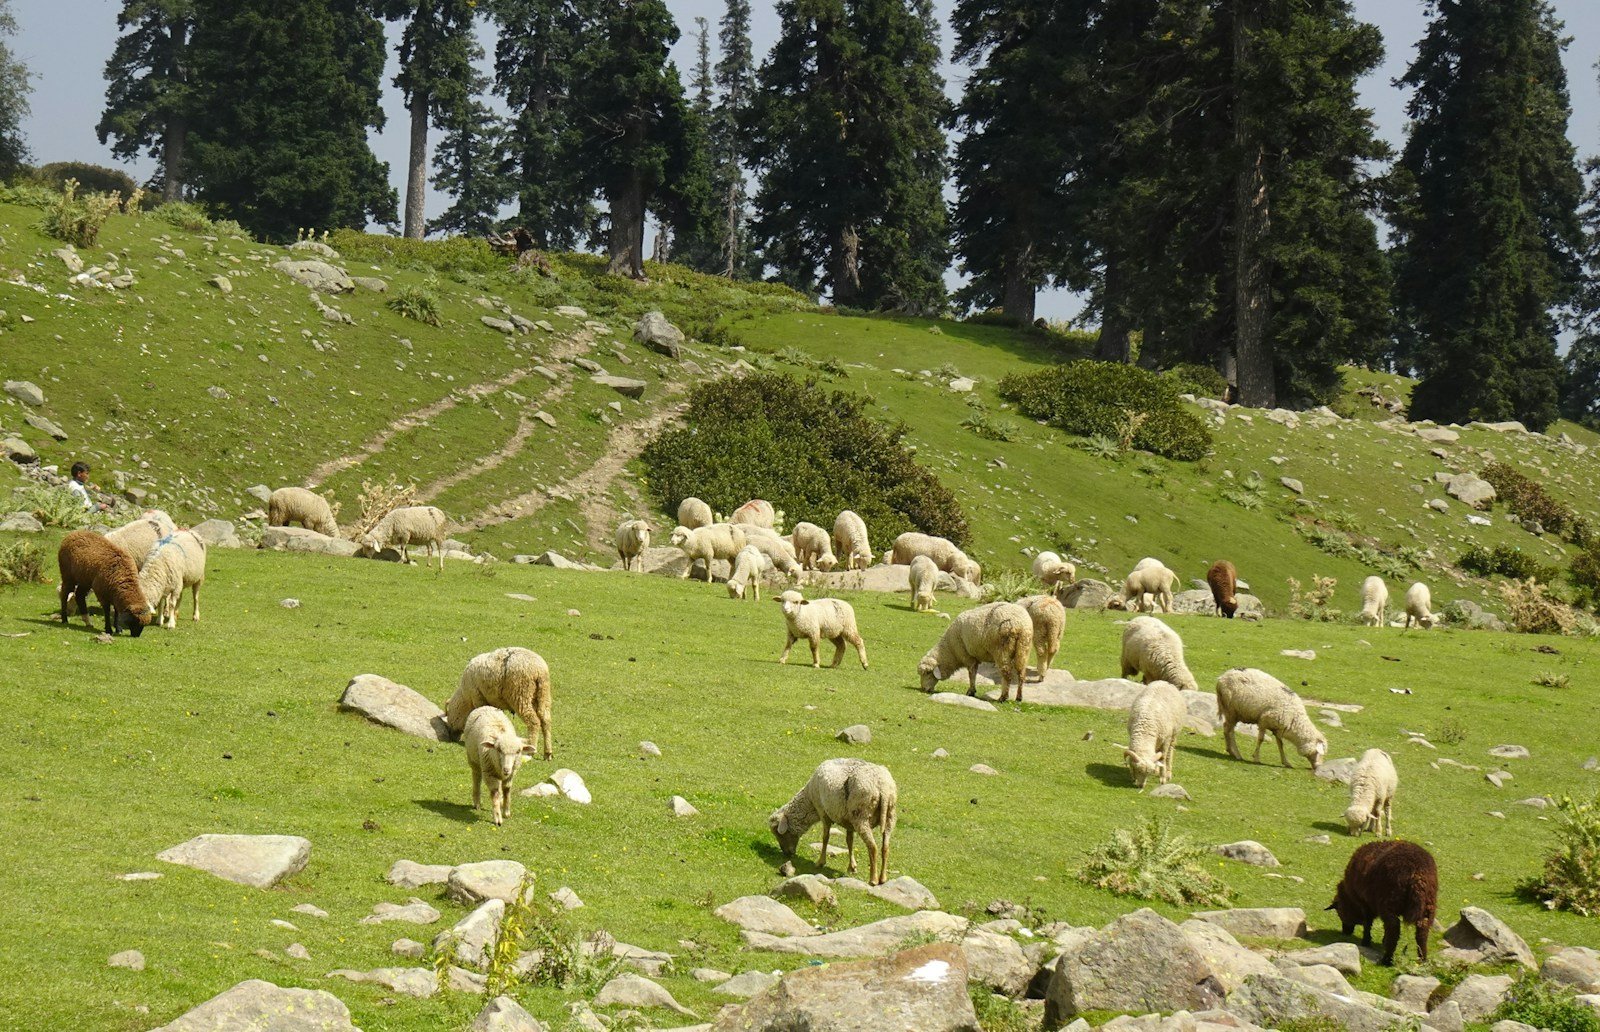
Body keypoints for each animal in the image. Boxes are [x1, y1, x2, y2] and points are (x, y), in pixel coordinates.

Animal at [768, 758, 897, 886]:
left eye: (778, 833)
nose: (787, 854)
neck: (809, 802)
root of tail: (883, 787)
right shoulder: (849, 821)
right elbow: (849, 841)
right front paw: (852, 867)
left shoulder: (823, 812)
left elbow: (825, 837)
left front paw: (820, 862)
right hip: (889, 817)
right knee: (885, 847)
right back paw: (883, 878)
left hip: (861, 816)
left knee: (873, 847)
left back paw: (873, 879)